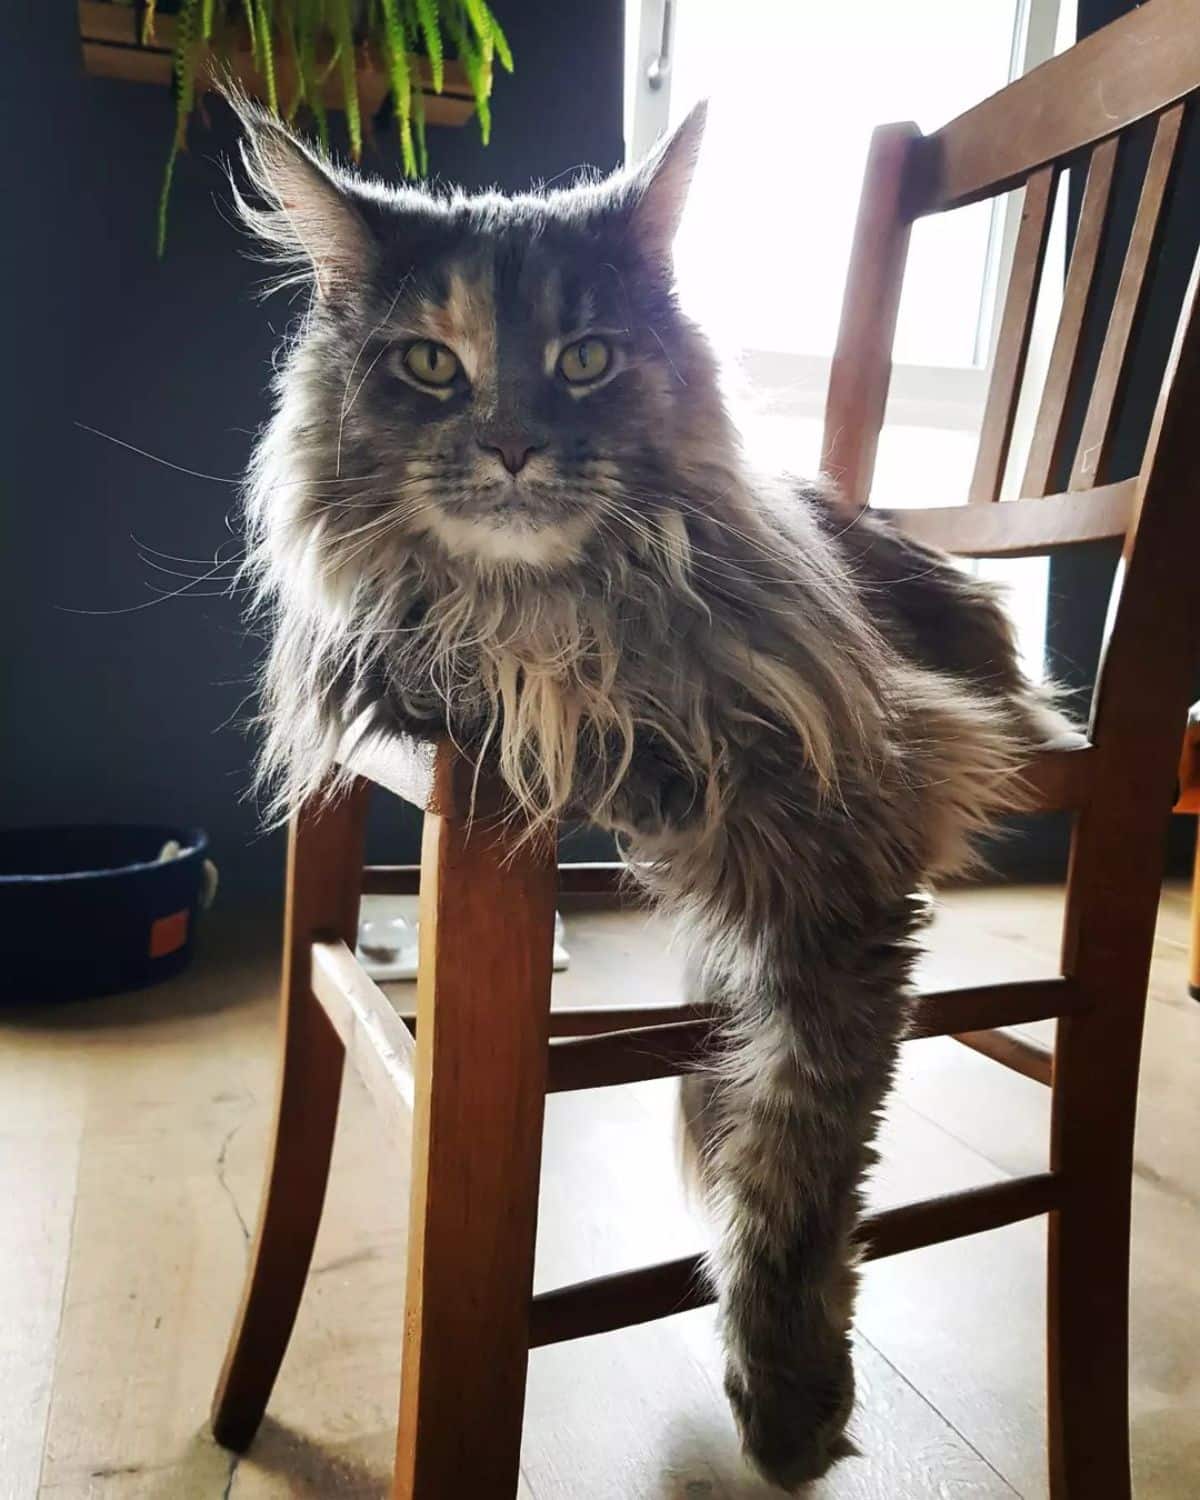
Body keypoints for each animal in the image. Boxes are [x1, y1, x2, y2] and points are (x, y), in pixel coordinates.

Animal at [232, 99, 1062, 1494]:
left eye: (584, 360)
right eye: (429, 365)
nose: (512, 444)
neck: (558, 620)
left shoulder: (856, 848)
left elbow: (801, 1157)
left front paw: (787, 1398)